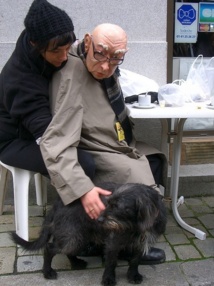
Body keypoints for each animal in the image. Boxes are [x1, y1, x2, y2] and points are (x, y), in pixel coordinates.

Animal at [10, 184, 167, 284]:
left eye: (117, 207)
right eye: (108, 203)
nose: (99, 219)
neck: (134, 226)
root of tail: (59, 203)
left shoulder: (140, 243)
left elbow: (135, 260)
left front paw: (133, 275)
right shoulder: (113, 242)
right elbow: (111, 261)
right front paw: (108, 278)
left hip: (81, 237)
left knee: (69, 251)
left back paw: (75, 262)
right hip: (73, 237)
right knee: (49, 248)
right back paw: (47, 272)